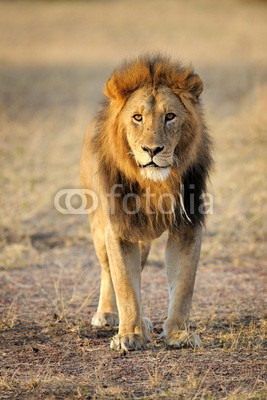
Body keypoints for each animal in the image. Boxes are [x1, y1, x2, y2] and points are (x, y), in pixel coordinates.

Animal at [80, 54, 214, 352]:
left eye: (170, 116)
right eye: (137, 118)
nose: (152, 150)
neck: (157, 185)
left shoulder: (187, 226)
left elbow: (184, 285)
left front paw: (179, 333)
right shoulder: (118, 228)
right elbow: (125, 285)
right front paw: (130, 335)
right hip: (99, 227)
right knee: (108, 270)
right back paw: (109, 314)